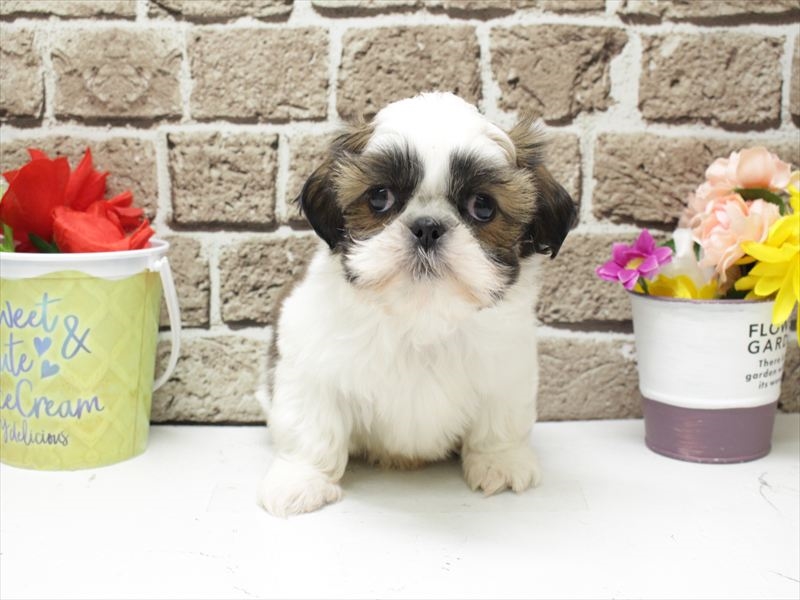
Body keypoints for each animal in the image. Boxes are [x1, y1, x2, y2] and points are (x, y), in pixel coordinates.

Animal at [258, 92, 577, 517]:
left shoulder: (508, 369)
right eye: (379, 197)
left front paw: (501, 461)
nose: (427, 227)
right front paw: (301, 479)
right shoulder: (309, 363)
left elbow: (501, 419)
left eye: (483, 207)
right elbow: (310, 425)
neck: (421, 315)